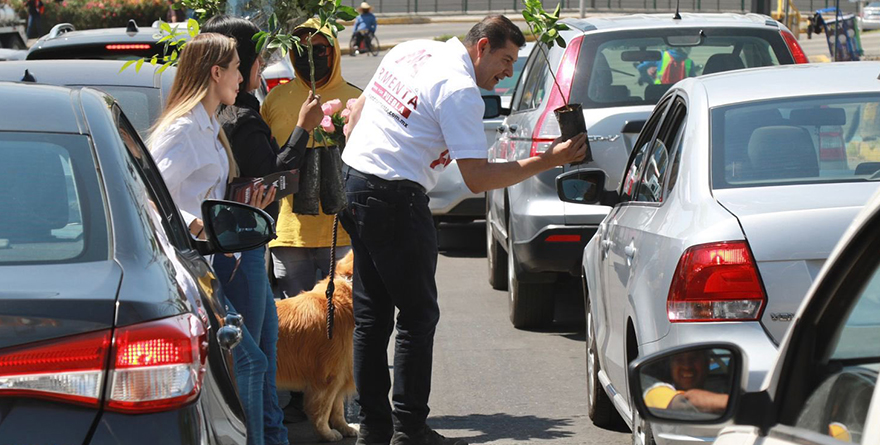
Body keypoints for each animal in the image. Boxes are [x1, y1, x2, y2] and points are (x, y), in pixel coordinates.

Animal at [276, 250, 358, 440]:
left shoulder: (342, 369)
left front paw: (346, 428)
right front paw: (327, 434)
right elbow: (322, 410)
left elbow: (338, 408)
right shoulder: (328, 376)